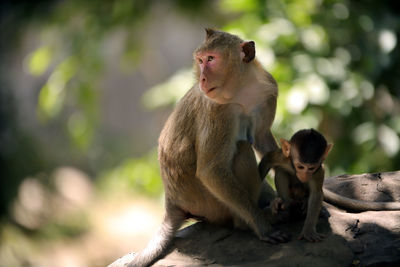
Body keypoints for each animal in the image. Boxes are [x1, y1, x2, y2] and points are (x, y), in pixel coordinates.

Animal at [128, 28, 288, 266]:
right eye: (201, 60)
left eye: (212, 59)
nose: (202, 78)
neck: (242, 88)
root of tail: (171, 200)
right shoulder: (218, 110)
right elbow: (210, 170)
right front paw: (261, 225)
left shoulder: (268, 90)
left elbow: (262, 138)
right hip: (209, 204)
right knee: (242, 149)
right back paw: (254, 219)